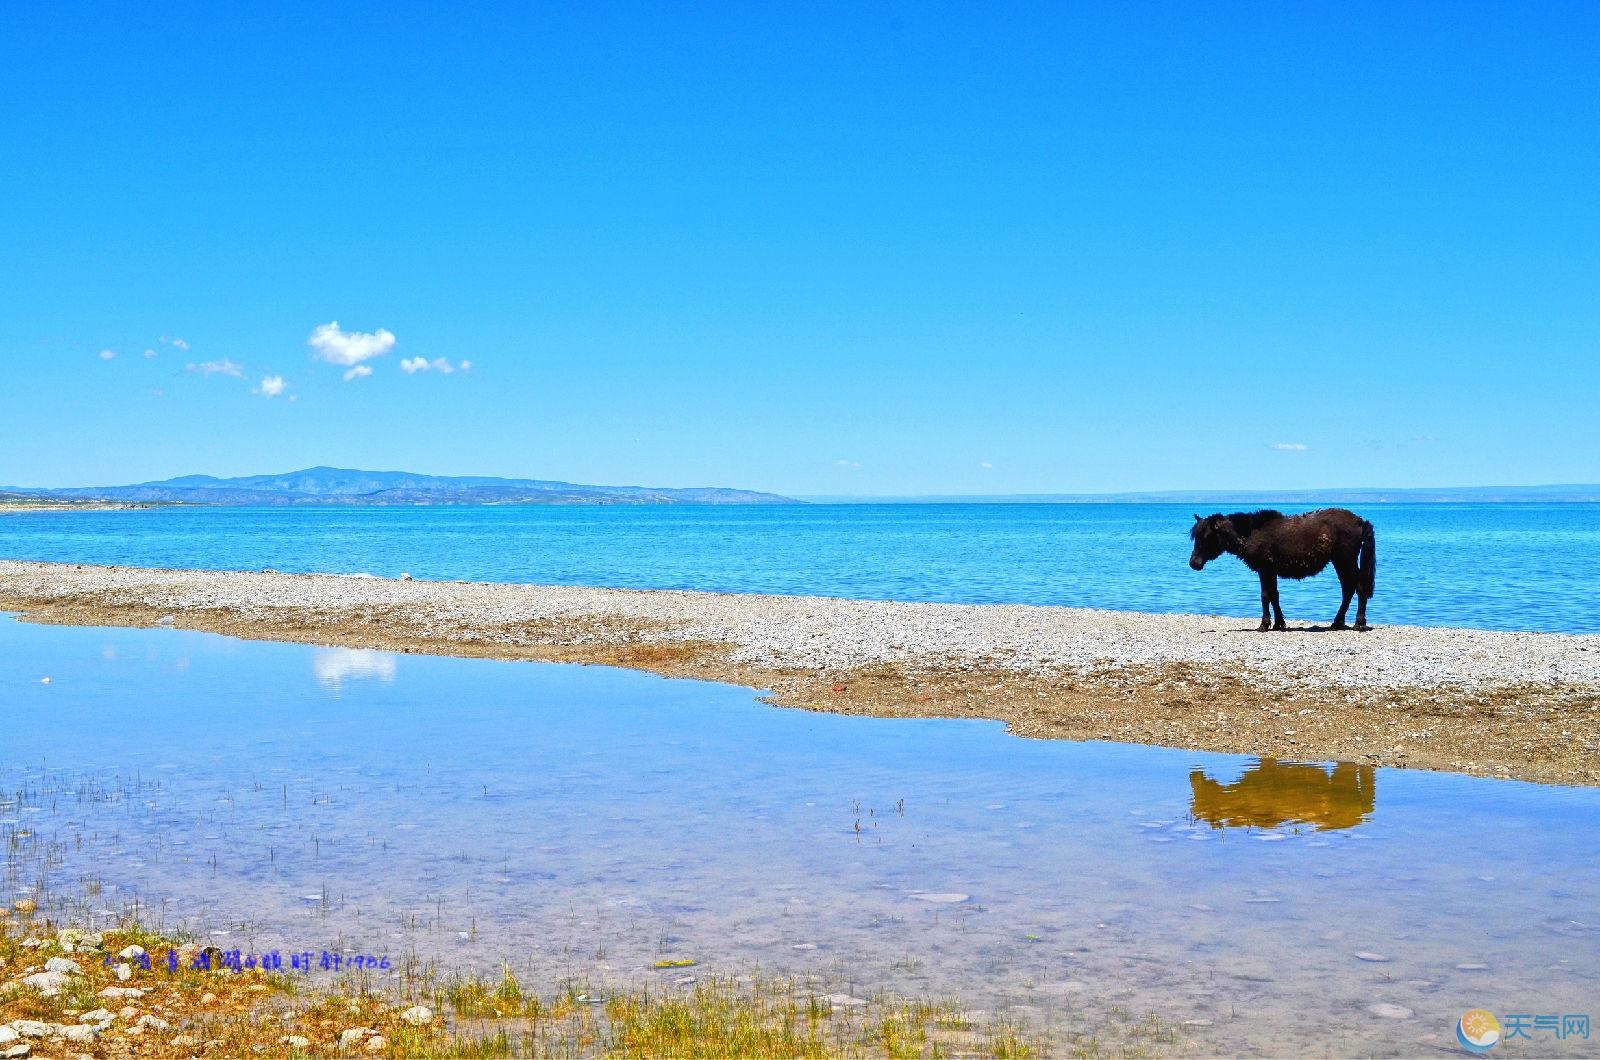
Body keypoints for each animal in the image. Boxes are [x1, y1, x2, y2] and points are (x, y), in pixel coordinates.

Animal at [1190, 509, 1376, 630]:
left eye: (1206, 537)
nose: (1193, 563)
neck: (1251, 533)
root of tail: (1359, 521)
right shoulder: (1271, 571)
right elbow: (1274, 595)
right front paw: (1279, 623)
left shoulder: (1264, 569)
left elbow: (1265, 595)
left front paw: (1264, 624)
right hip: (1339, 561)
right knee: (1348, 588)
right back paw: (1338, 622)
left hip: (1345, 559)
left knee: (1358, 586)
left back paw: (1359, 623)